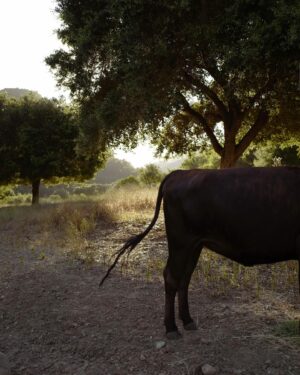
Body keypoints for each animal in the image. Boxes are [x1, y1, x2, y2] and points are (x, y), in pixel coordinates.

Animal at [101, 169, 300, 340]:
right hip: (181, 243)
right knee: (172, 277)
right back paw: (171, 328)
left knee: (184, 278)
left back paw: (187, 320)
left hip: (194, 245)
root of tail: (181, 172)